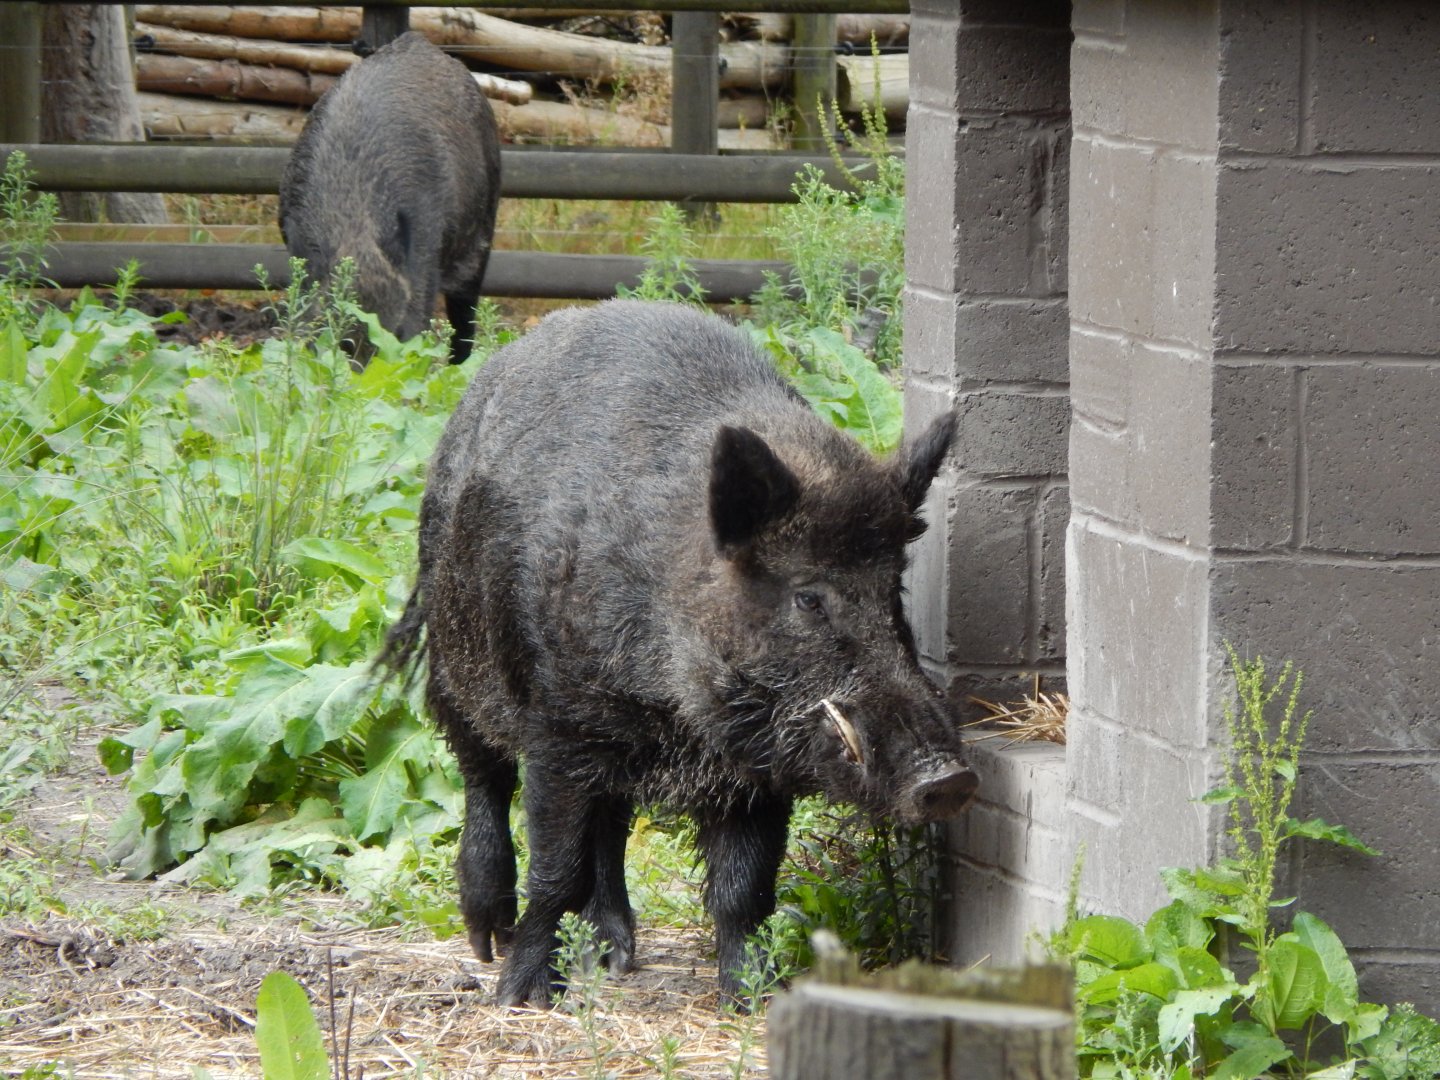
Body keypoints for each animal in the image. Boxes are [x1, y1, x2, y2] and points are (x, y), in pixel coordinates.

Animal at [381, 299, 977, 1007]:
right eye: (808, 597)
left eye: (895, 591)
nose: (948, 778)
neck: (675, 709)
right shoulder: (558, 724)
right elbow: (554, 871)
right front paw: (522, 997)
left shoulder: (756, 762)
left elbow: (744, 889)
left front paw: (754, 998)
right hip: (458, 651)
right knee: (483, 775)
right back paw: (487, 939)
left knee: (610, 821)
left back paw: (613, 956)